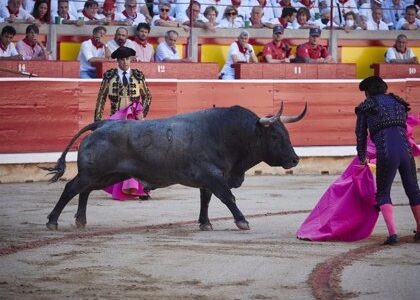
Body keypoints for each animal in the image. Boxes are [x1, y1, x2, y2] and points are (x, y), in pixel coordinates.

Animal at [43, 103, 306, 230]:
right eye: (275, 136)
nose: (294, 159)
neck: (228, 134)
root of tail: (102, 124)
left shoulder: (208, 181)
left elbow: (206, 200)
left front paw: (205, 223)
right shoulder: (214, 177)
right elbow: (228, 198)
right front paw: (242, 221)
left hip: (107, 175)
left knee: (84, 191)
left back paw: (80, 220)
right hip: (93, 172)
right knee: (71, 189)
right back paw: (53, 221)